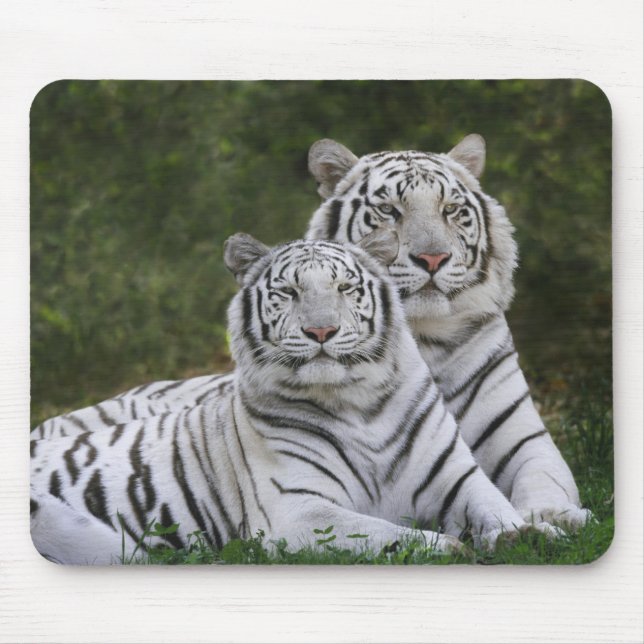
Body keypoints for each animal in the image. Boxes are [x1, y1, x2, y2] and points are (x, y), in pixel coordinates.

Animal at [30, 232, 557, 565]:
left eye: (345, 287)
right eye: (288, 292)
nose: (321, 331)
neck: (361, 403)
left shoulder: (456, 478)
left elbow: (497, 509)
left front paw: (532, 535)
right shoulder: (297, 510)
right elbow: (383, 533)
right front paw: (451, 547)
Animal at [305, 134, 592, 529]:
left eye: (450, 209)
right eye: (389, 211)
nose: (433, 259)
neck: (425, 336)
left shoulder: (524, 436)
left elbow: (544, 476)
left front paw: (554, 515)